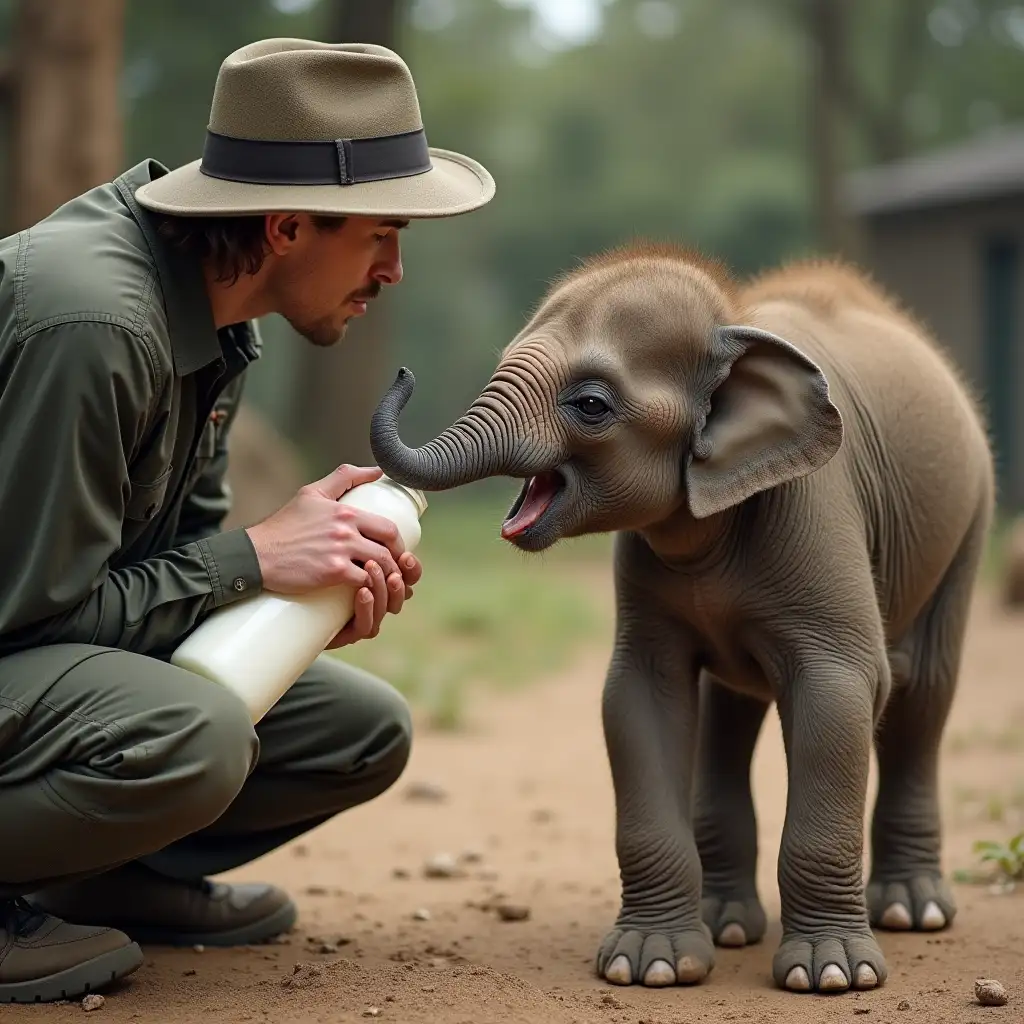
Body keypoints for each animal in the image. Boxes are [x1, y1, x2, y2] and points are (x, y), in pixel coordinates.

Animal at [368, 245, 991, 991]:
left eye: (591, 405)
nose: (401, 371)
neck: (734, 325)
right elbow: (639, 696)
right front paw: (652, 967)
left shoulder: (817, 508)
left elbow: (841, 689)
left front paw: (831, 976)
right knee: (729, 712)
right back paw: (728, 924)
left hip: (971, 519)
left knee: (922, 694)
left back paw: (910, 912)